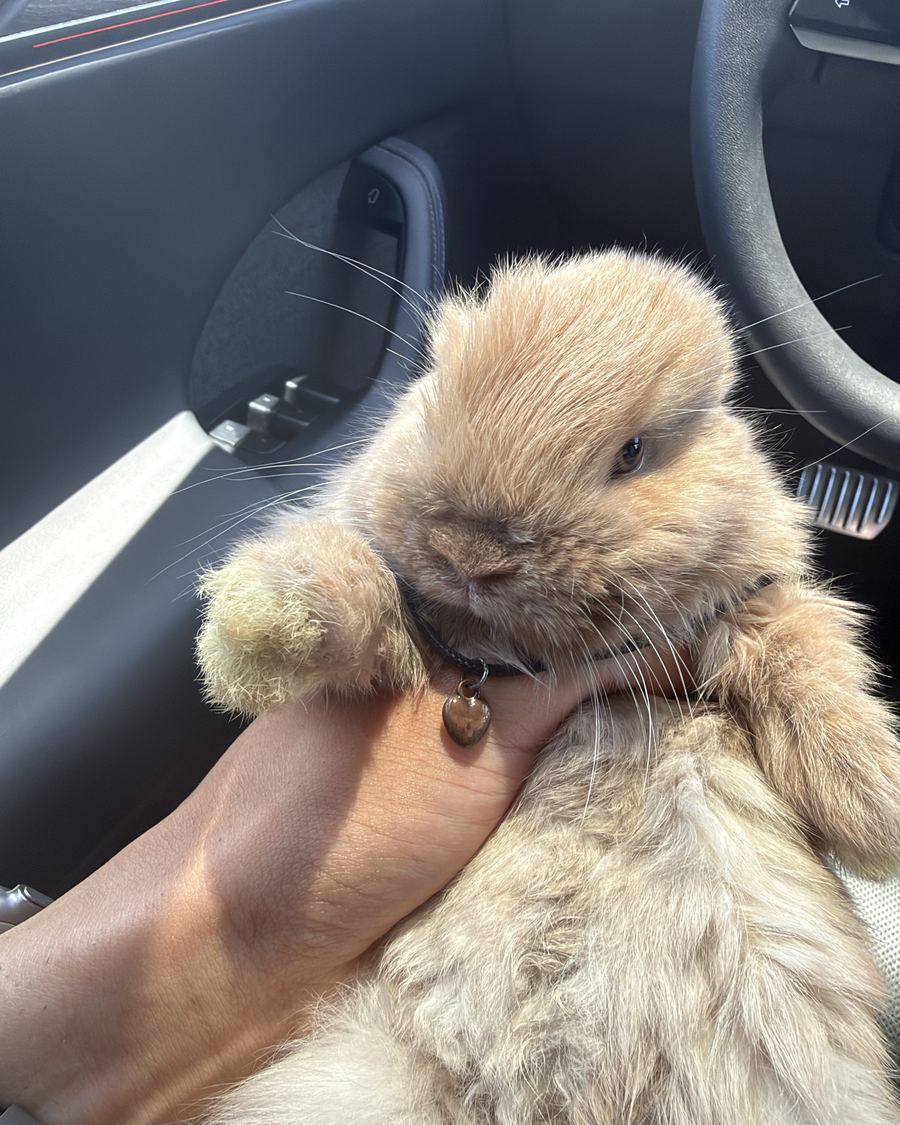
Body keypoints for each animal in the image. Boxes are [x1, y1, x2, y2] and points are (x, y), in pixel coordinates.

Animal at [197, 251, 900, 1124]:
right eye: (436, 390)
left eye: (632, 451)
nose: (469, 552)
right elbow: (355, 583)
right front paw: (254, 626)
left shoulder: (756, 606)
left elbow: (806, 659)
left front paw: (877, 805)